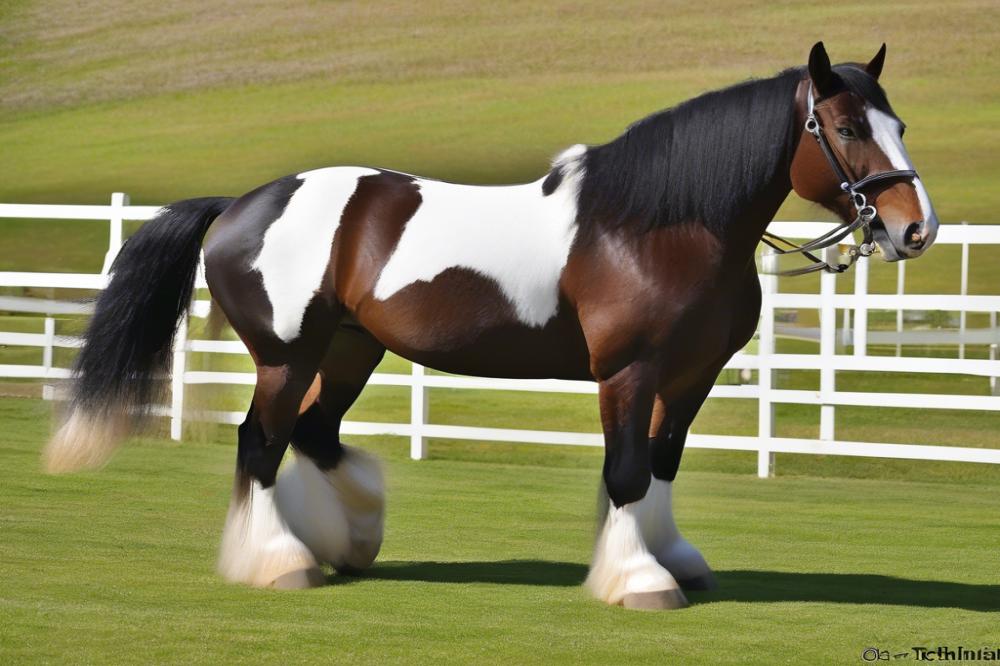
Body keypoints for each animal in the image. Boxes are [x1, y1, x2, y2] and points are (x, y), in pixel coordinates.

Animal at [43, 42, 936, 608]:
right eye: (846, 128)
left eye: (899, 126)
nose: (914, 229)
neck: (656, 225)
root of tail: (238, 206)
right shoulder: (629, 372)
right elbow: (627, 472)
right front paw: (639, 580)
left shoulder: (690, 377)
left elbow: (662, 466)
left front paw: (672, 559)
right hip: (286, 356)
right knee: (261, 445)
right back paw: (280, 562)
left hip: (351, 349)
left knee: (315, 436)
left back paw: (351, 538)